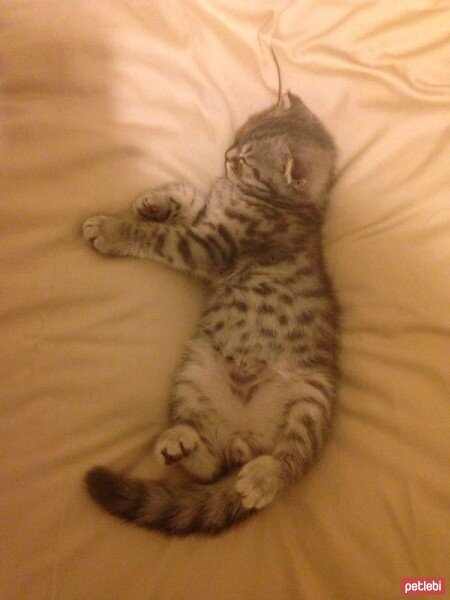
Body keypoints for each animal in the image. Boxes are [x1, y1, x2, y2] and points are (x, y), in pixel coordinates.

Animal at [83, 92, 338, 536]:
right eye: (241, 137)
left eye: (247, 161)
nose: (227, 154)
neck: (288, 205)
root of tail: (244, 435)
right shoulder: (208, 226)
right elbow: (193, 200)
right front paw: (157, 202)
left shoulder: (213, 249)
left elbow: (162, 238)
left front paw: (116, 230)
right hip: (194, 371)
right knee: (208, 466)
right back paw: (181, 444)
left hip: (314, 395)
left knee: (293, 455)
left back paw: (264, 477)